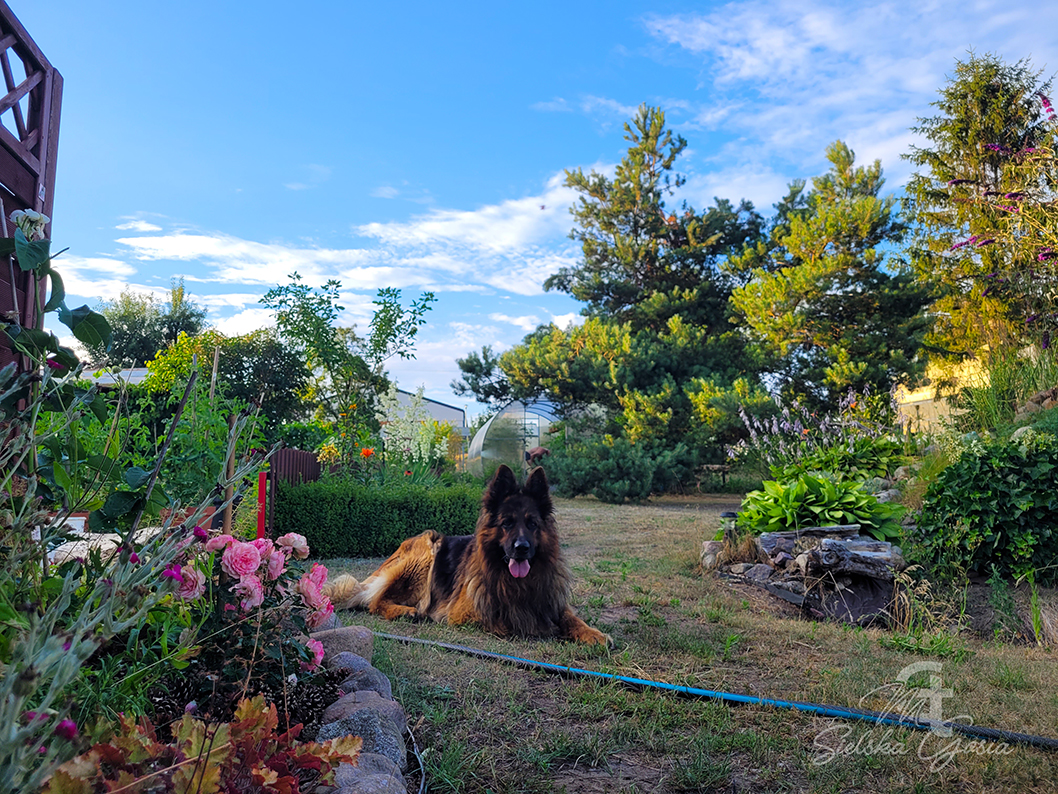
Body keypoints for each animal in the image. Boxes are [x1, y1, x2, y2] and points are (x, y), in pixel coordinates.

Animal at [323, 465, 613, 647]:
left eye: (532, 524)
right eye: (507, 523)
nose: (521, 548)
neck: (515, 581)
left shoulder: (550, 598)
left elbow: (570, 616)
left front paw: (593, 633)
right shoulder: (466, 613)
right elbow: (511, 619)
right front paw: (541, 627)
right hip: (426, 549)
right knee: (376, 601)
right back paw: (404, 611)